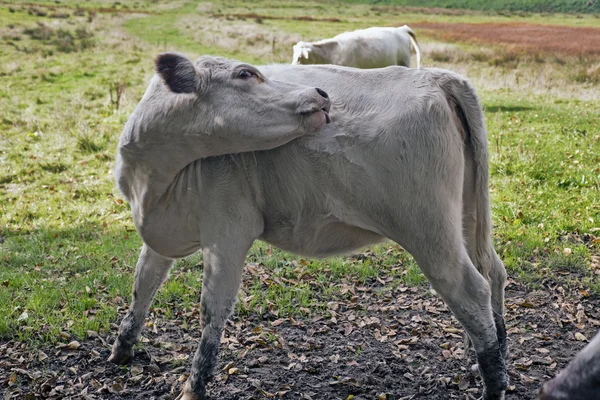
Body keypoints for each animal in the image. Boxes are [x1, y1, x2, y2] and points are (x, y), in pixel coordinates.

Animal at [109, 53, 506, 400]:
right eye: (245, 74)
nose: (320, 93)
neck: (154, 181)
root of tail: (435, 76)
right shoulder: (159, 236)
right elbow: (143, 285)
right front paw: (121, 350)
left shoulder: (228, 230)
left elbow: (212, 310)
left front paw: (194, 388)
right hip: (466, 215)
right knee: (493, 272)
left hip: (428, 228)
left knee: (471, 289)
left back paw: (493, 382)